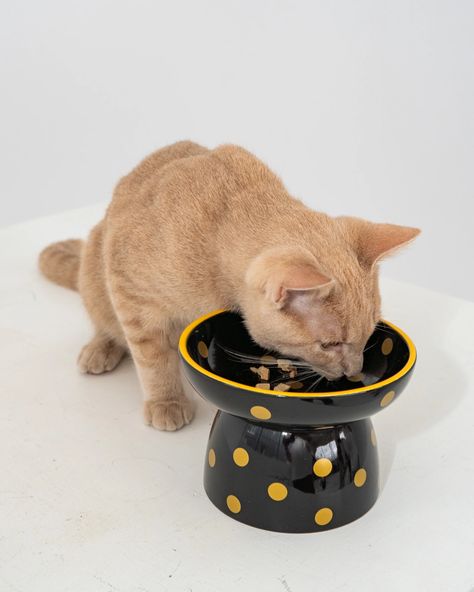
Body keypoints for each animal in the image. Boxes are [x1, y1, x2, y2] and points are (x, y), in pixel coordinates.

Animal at [39, 142, 420, 430]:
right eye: (329, 344)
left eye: (368, 335)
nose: (353, 370)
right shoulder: (128, 289)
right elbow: (152, 355)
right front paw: (166, 399)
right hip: (96, 264)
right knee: (105, 320)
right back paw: (101, 347)